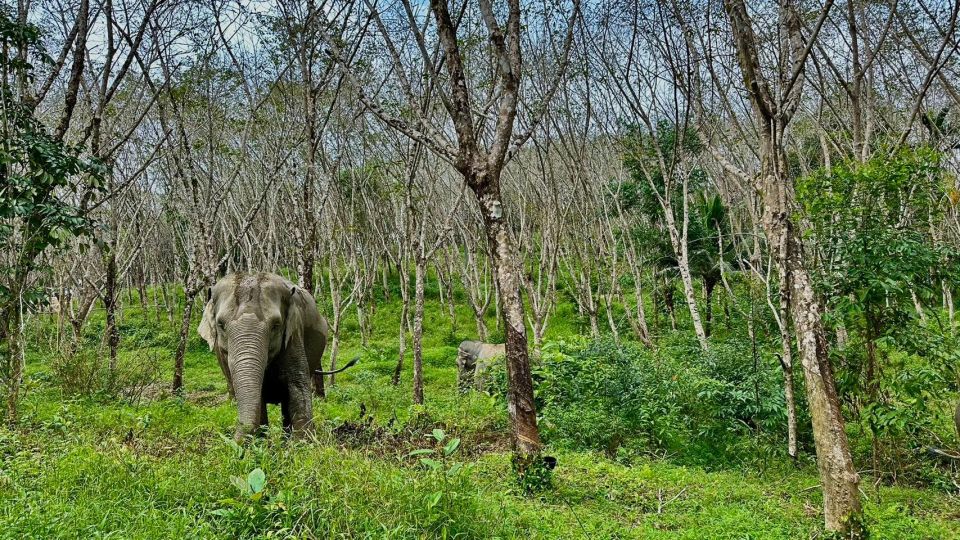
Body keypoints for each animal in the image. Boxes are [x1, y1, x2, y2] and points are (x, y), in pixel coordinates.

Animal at [199, 272, 356, 440]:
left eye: (276, 325)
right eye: (221, 324)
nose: (231, 439)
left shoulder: (294, 335)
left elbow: (297, 387)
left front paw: (304, 442)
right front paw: (260, 442)